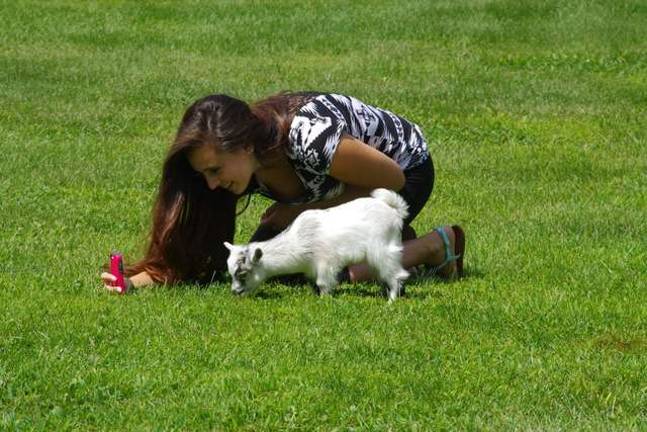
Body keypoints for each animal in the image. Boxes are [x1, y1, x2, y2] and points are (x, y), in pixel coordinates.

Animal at [223, 189, 410, 300]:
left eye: (243, 273)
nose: (235, 292)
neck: (299, 241)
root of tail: (395, 211)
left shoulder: (325, 262)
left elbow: (322, 282)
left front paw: (323, 300)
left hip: (383, 250)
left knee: (397, 274)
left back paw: (391, 300)